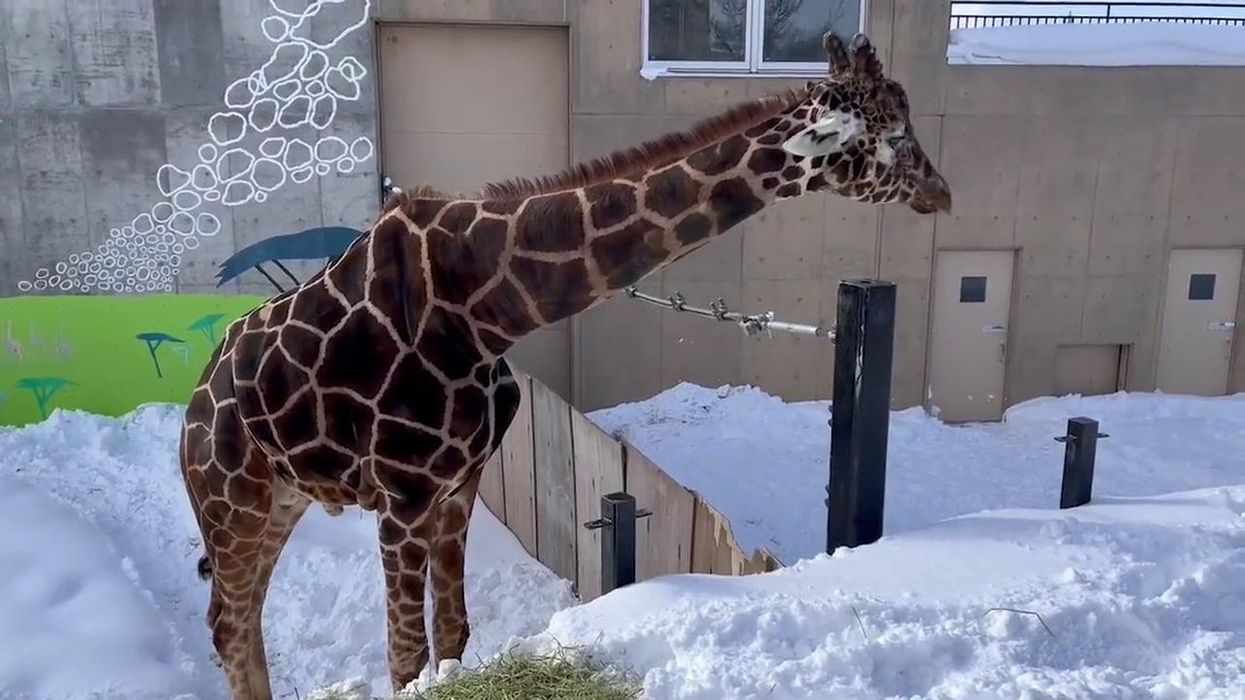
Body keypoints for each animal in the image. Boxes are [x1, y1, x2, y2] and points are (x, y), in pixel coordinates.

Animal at [180, 31, 950, 699]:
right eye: (893, 137)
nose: (941, 191)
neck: (483, 307)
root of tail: (191, 413)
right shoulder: (401, 495)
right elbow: (404, 656)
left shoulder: (459, 484)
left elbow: (452, 636)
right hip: (232, 503)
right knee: (229, 624)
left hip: (282, 498)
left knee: (237, 621)